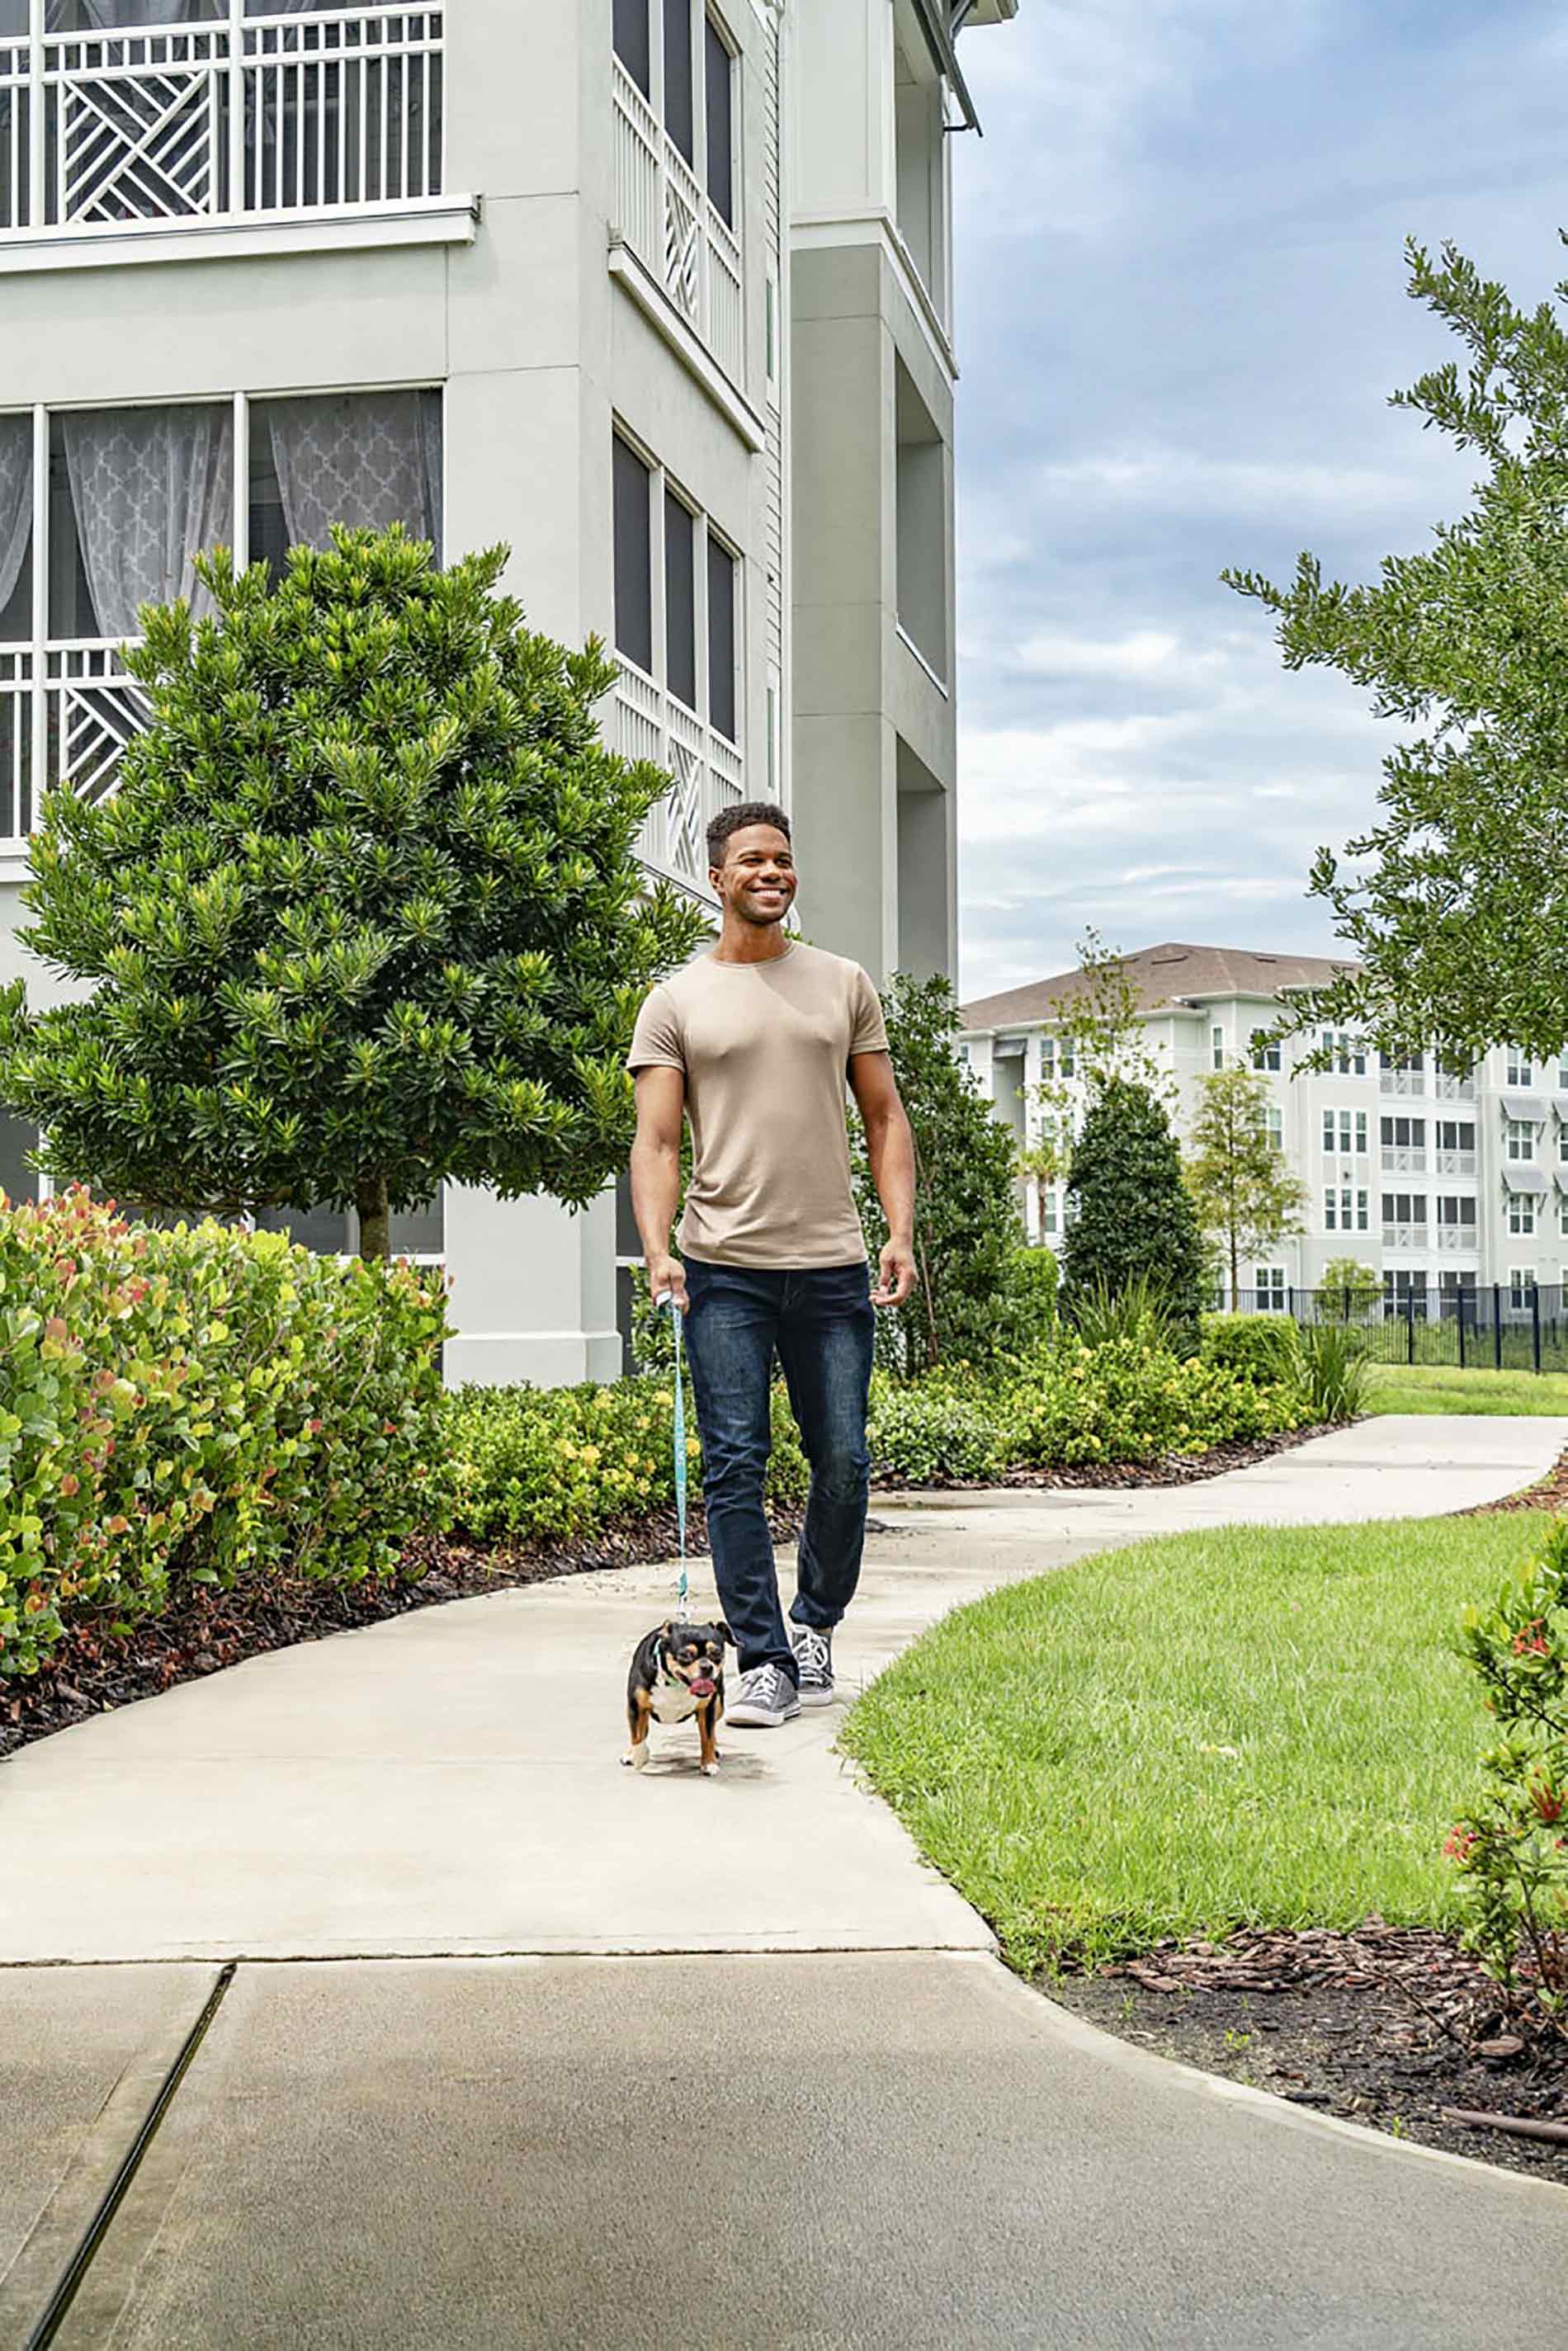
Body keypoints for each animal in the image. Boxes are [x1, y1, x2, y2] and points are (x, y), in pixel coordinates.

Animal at [621, 1626, 733, 1768]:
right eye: (685, 1655)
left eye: (716, 1653)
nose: (707, 1667)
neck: (676, 1683)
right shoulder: (637, 1707)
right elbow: (638, 1736)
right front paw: (639, 1757)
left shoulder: (708, 1709)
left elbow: (707, 1737)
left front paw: (709, 1763)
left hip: (719, 1707)